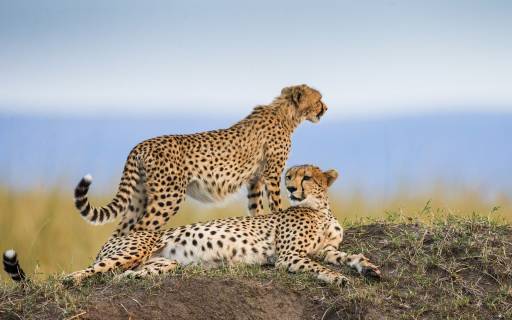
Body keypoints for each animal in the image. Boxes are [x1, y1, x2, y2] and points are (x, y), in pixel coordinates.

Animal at [4, 165, 380, 284]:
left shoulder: (328, 248)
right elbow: (320, 267)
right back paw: (72, 281)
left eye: (307, 177)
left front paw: (370, 268)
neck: (320, 209)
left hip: (161, 263)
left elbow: (346, 257)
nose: (289, 187)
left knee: (123, 275)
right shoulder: (289, 256)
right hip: (135, 247)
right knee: (78, 274)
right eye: (290, 175)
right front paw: (338, 279)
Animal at [73, 84, 328, 236]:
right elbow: (276, 204)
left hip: (139, 196)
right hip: (168, 196)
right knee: (141, 228)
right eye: (319, 99)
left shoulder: (255, 179)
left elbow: (256, 209)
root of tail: (141, 144)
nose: (326, 108)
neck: (287, 114)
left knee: (121, 231)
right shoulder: (272, 175)